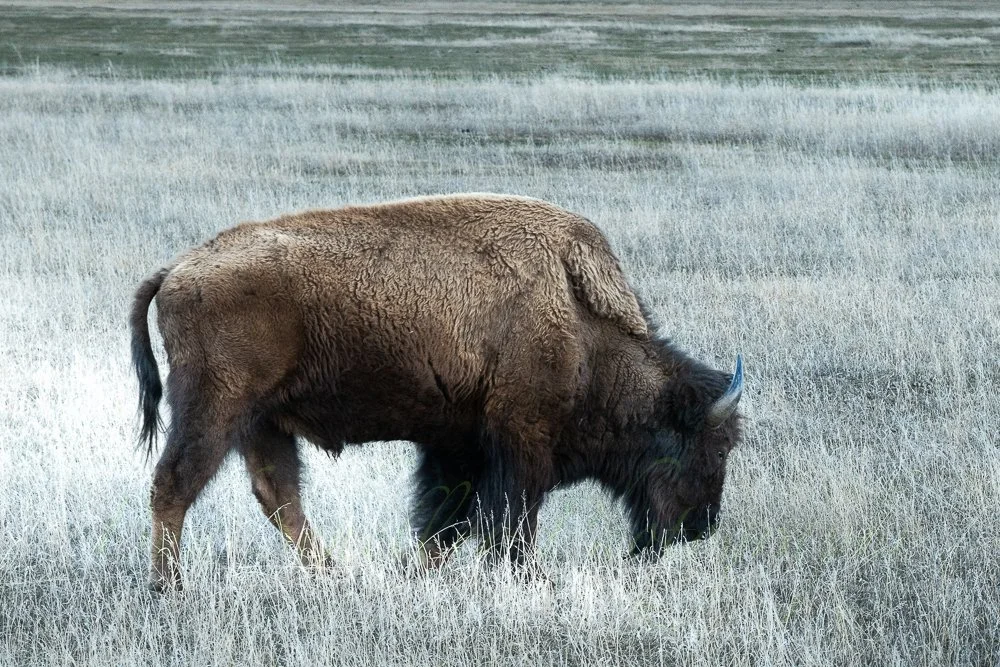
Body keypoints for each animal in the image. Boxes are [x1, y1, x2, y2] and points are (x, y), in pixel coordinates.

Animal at [130, 194, 743, 591]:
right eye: (714, 447)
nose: (701, 527)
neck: (579, 323)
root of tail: (177, 269)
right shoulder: (521, 440)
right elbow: (509, 520)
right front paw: (532, 579)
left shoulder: (458, 443)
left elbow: (445, 522)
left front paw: (413, 574)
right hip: (213, 408)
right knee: (175, 484)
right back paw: (169, 587)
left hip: (264, 420)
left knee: (279, 496)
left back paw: (334, 575)